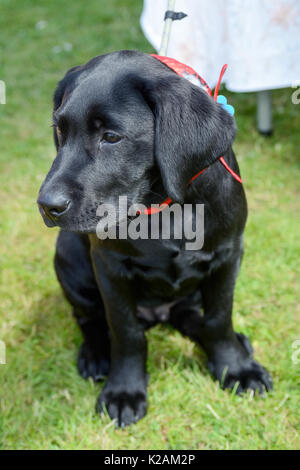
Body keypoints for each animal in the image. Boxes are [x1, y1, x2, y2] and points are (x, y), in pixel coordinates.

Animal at [37, 50, 272, 426]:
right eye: (60, 129)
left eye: (111, 137)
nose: (47, 205)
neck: (163, 208)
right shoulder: (109, 267)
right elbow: (125, 332)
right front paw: (124, 392)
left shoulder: (228, 254)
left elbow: (219, 317)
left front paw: (236, 368)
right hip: (68, 257)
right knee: (89, 318)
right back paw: (95, 355)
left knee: (194, 317)